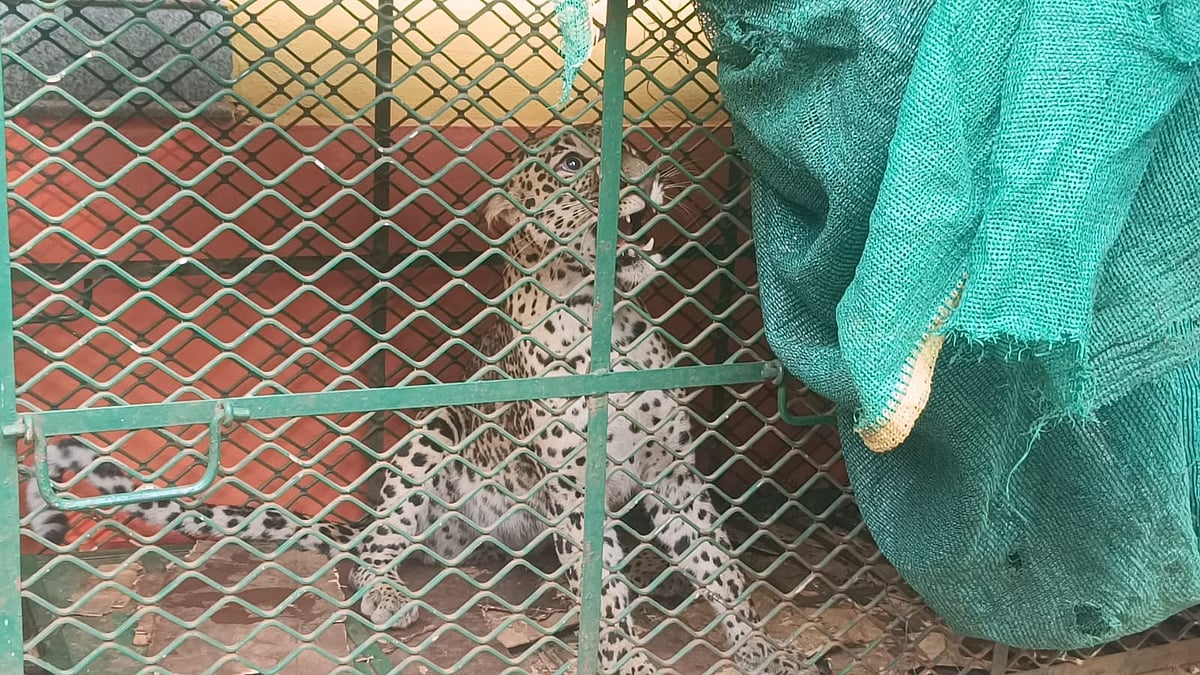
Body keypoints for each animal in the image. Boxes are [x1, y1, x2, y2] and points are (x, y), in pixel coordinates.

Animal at [25, 125, 825, 674]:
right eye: (570, 166)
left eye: (629, 145)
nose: (652, 174)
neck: (611, 325)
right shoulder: (575, 492)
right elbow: (607, 591)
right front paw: (627, 658)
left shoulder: (675, 476)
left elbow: (724, 569)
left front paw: (760, 647)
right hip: (431, 432)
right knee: (375, 548)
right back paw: (384, 592)